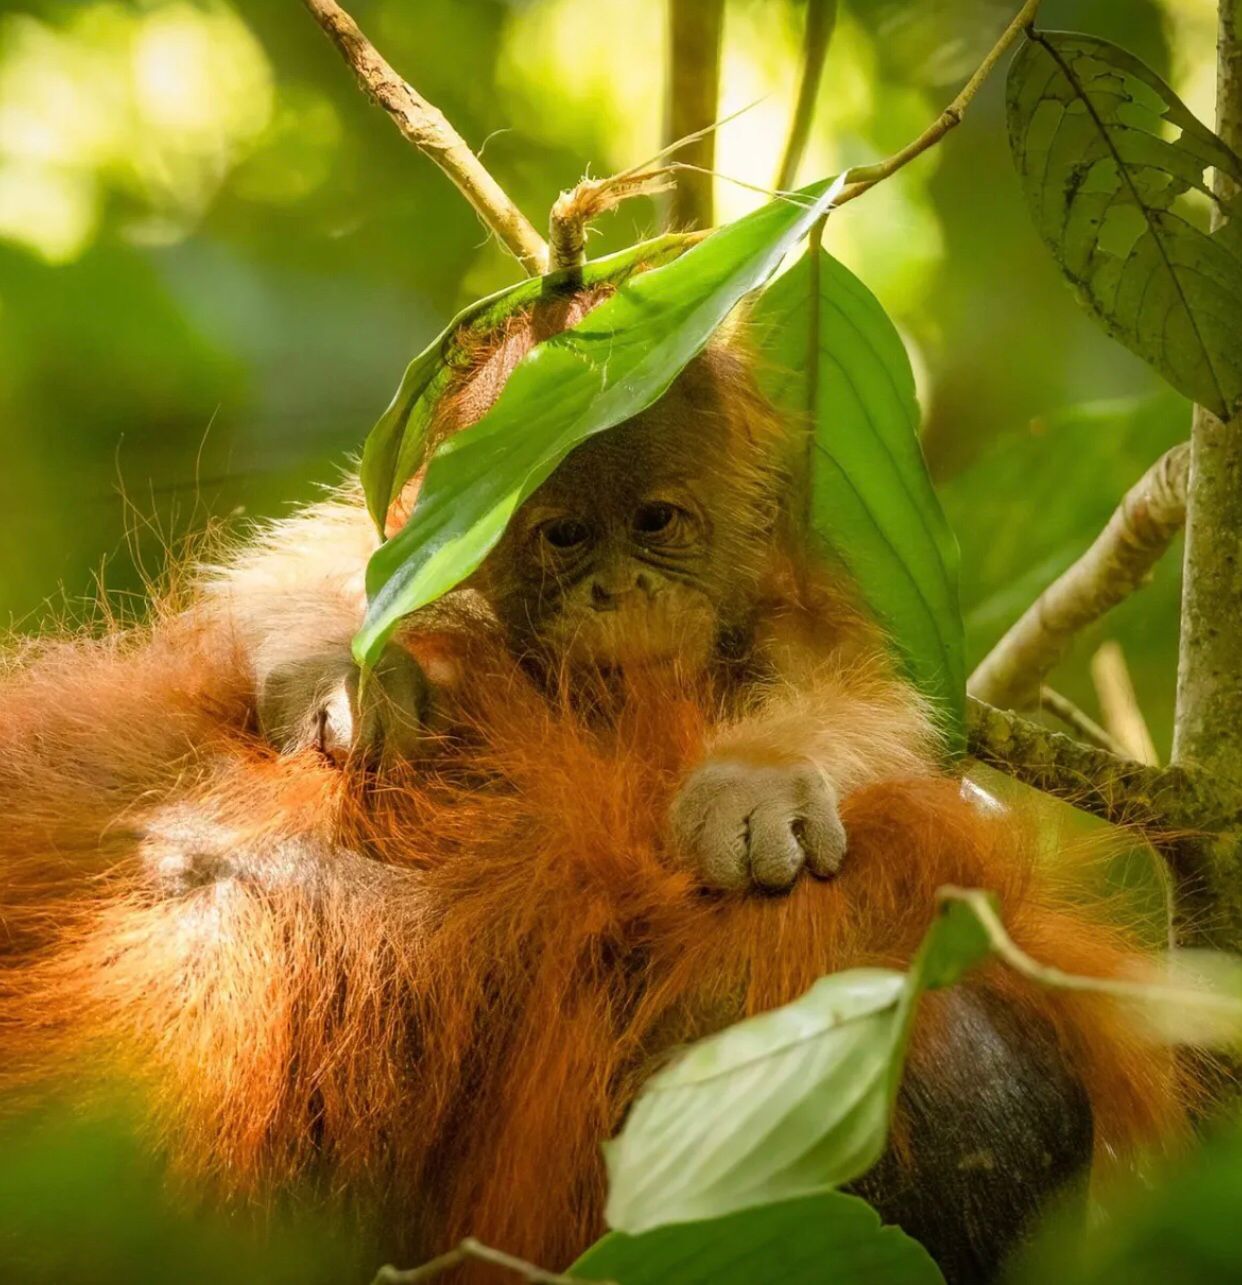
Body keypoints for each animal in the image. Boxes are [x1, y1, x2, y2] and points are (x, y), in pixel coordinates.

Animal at [0, 293, 1184, 1285]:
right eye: (564, 533)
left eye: (657, 521)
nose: (617, 583)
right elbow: (313, 568)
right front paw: (343, 675)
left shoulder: (800, 613)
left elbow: (865, 710)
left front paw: (756, 792)